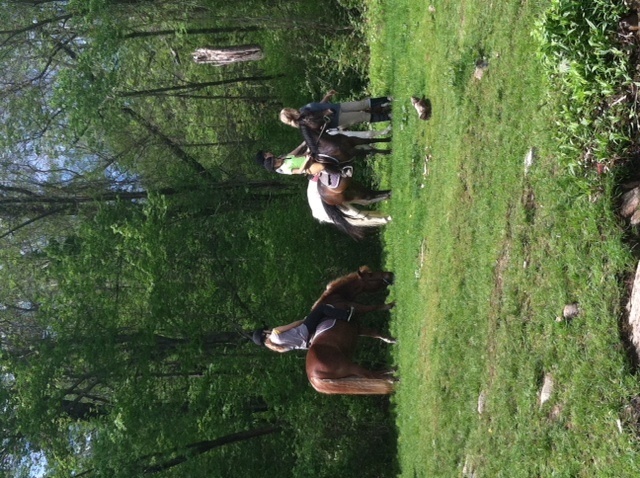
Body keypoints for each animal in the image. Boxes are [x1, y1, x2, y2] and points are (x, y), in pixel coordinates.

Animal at [304, 266, 396, 396]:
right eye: (371, 275)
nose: (390, 274)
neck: (336, 298)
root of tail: (313, 377)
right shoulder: (358, 308)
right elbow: (375, 307)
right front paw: (392, 304)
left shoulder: (357, 328)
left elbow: (376, 334)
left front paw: (393, 340)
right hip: (350, 366)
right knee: (371, 375)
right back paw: (393, 377)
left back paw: (393, 370)